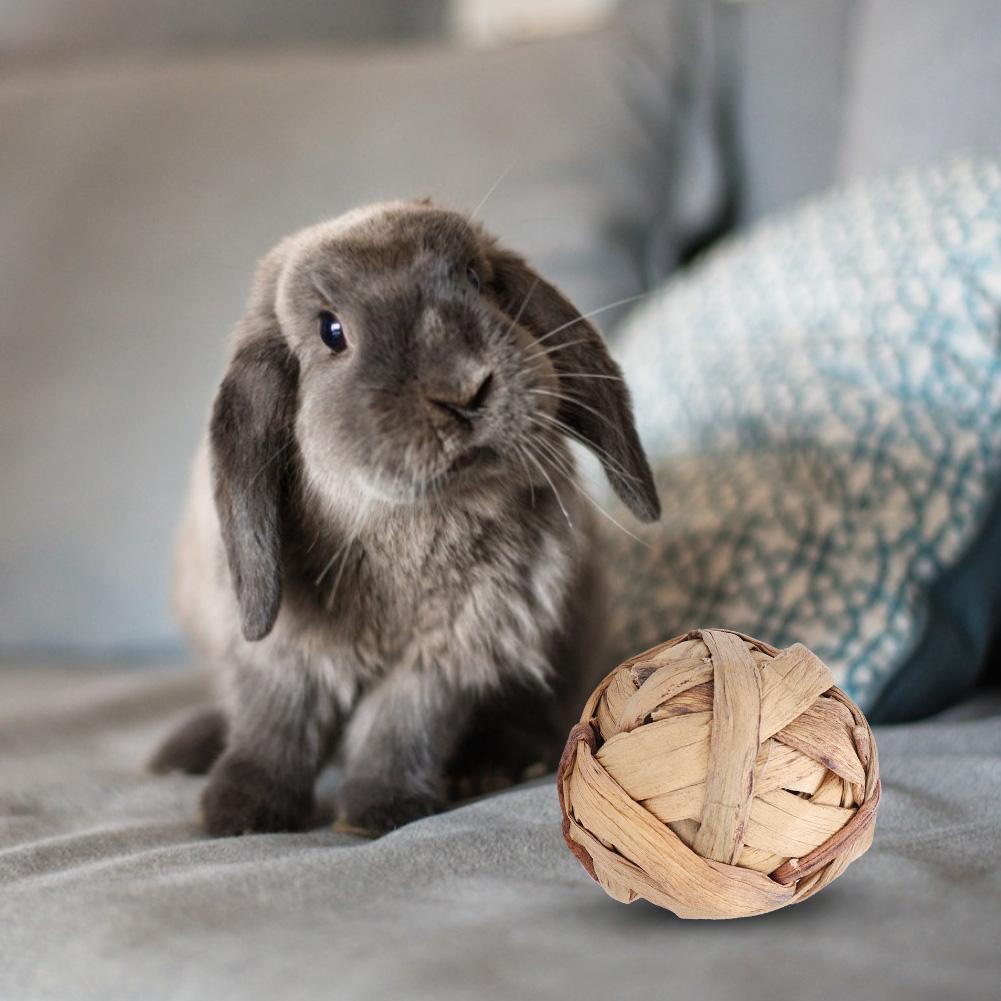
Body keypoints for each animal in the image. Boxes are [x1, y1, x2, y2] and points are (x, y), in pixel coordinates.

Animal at [150, 199, 659, 837]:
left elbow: (400, 726)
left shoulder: (449, 653)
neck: (408, 524)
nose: (464, 389)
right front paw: (237, 813)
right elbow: (275, 723)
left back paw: (494, 765)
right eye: (331, 331)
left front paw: (379, 812)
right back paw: (183, 752)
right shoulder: (281, 652)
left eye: (477, 280)